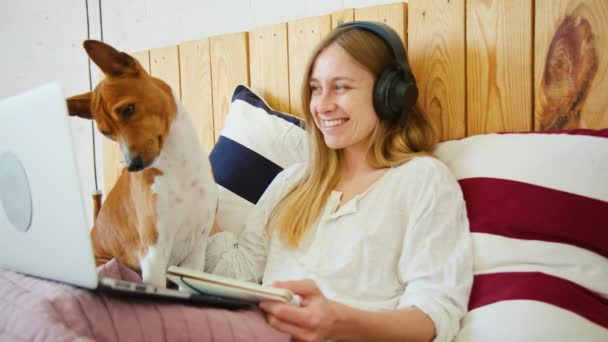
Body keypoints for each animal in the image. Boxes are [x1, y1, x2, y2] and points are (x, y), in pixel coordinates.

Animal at [66, 40, 217, 288]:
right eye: (106, 133)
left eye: (128, 109)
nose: (132, 165)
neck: (179, 167)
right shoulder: (153, 254)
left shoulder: (195, 252)